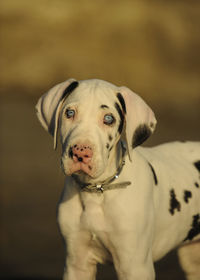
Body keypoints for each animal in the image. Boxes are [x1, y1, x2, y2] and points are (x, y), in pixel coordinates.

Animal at [35, 79, 200, 280]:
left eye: (108, 119)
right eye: (70, 113)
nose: (80, 152)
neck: (97, 190)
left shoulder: (135, 267)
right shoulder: (77, 264)